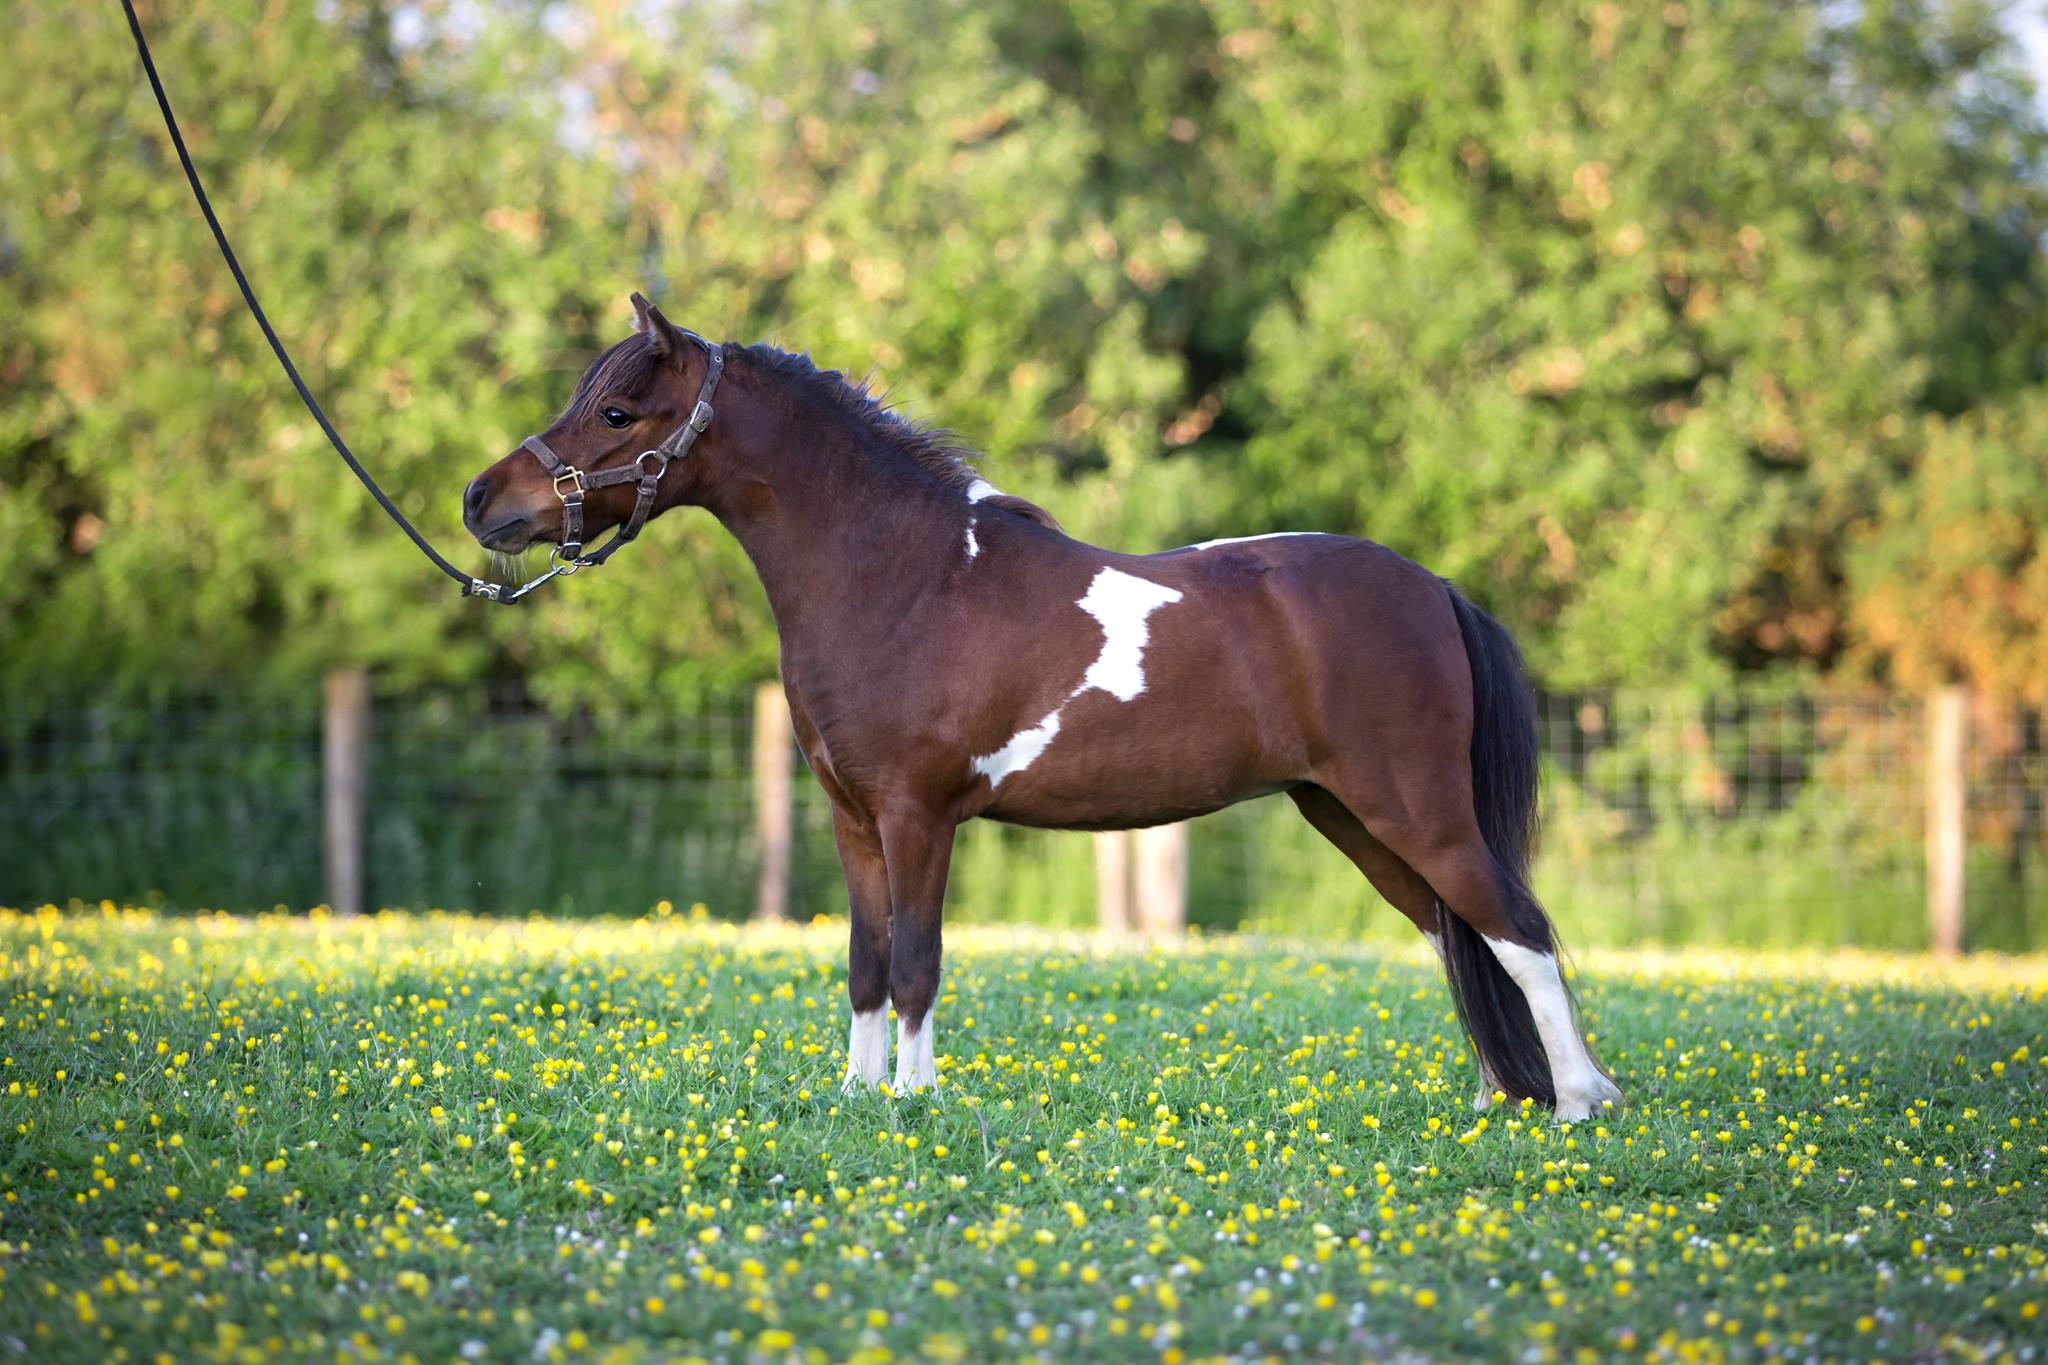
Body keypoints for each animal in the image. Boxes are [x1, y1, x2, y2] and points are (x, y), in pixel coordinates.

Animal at [462, 293, 1622, 1120]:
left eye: (617, 412)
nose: (483, 502)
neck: (907, 576)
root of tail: (1432, 588)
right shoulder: (854, 823)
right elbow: (865, 965)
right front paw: (854, 1094)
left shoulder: (919, 817)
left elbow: (918, 963)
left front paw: (914, 1100)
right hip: (1351, 818)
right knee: (1460, 935)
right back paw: (1498, 1098)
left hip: (1413, 811)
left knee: (1516, 931)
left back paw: (1575, 1104)